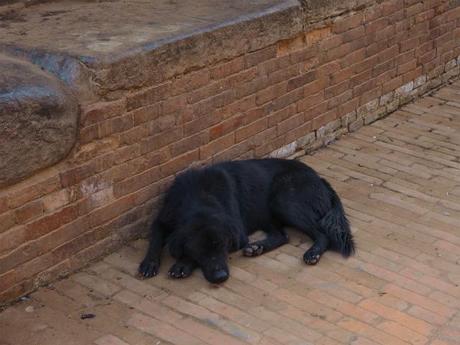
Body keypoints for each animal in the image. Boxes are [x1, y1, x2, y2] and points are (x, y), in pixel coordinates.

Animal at [138, 158, 354, 282]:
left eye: (223, 246)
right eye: (200, 250)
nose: (221, 278)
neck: (199, 197)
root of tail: (321, 180)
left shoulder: (238, 231)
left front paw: (182, 265)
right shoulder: (162, 219)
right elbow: (155, 240)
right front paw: (149, 264)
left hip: (284, 199)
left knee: (322, 234)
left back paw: (313, 253)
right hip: (269, 212)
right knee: (282, 236)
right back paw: (257, 247)